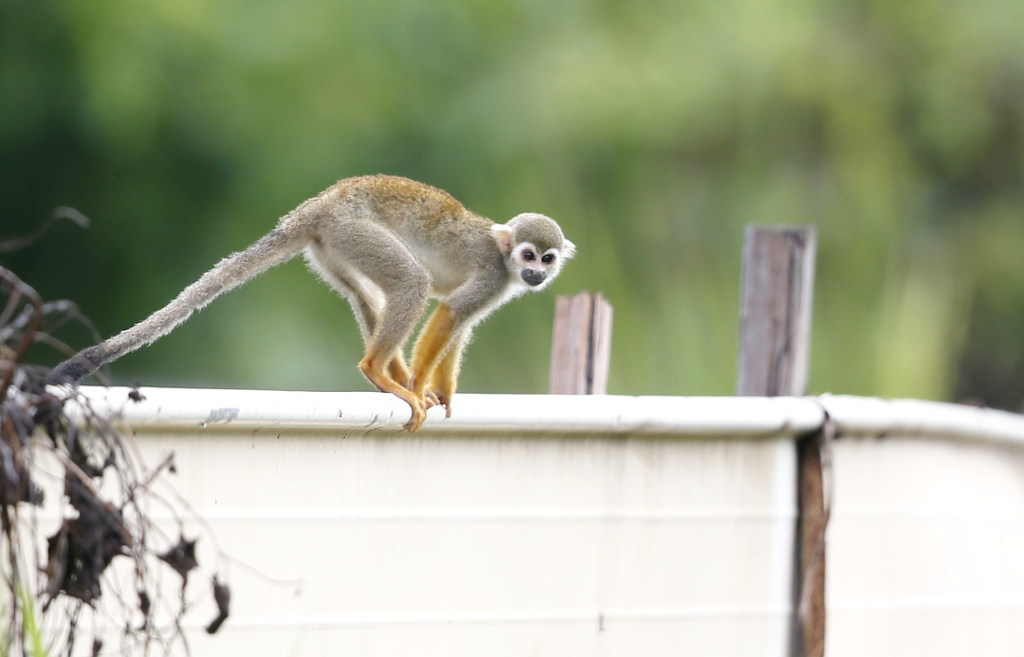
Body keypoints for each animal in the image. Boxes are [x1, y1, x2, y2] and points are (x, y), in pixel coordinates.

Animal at [51, 174, 577, 429]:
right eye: (527, 254)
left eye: (547, 259)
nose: (535, 274)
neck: (504, 258)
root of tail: (318, 205)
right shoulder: (493, 274)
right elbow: (451, 311)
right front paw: (424, 384)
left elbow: (461, 325)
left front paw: (442, 391)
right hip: (354, 229)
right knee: (412, 281)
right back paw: (380, 372)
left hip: (332, 248)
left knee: (370, 292)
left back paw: (390, 372)